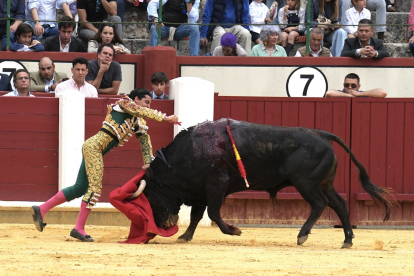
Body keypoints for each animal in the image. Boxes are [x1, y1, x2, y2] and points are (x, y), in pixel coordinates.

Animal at [142, 118, 392, 248]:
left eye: (151, 196)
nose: (163, 225)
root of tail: (321, 134)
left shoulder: (216, 185)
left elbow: (213, 213)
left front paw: (234, 230)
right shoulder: (200, 191)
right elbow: (196, 216)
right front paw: (185, 237)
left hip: (306, 183)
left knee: (319, 204)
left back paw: (302, 235)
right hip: (324, 183)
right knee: (339, 204)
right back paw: (347, 240)